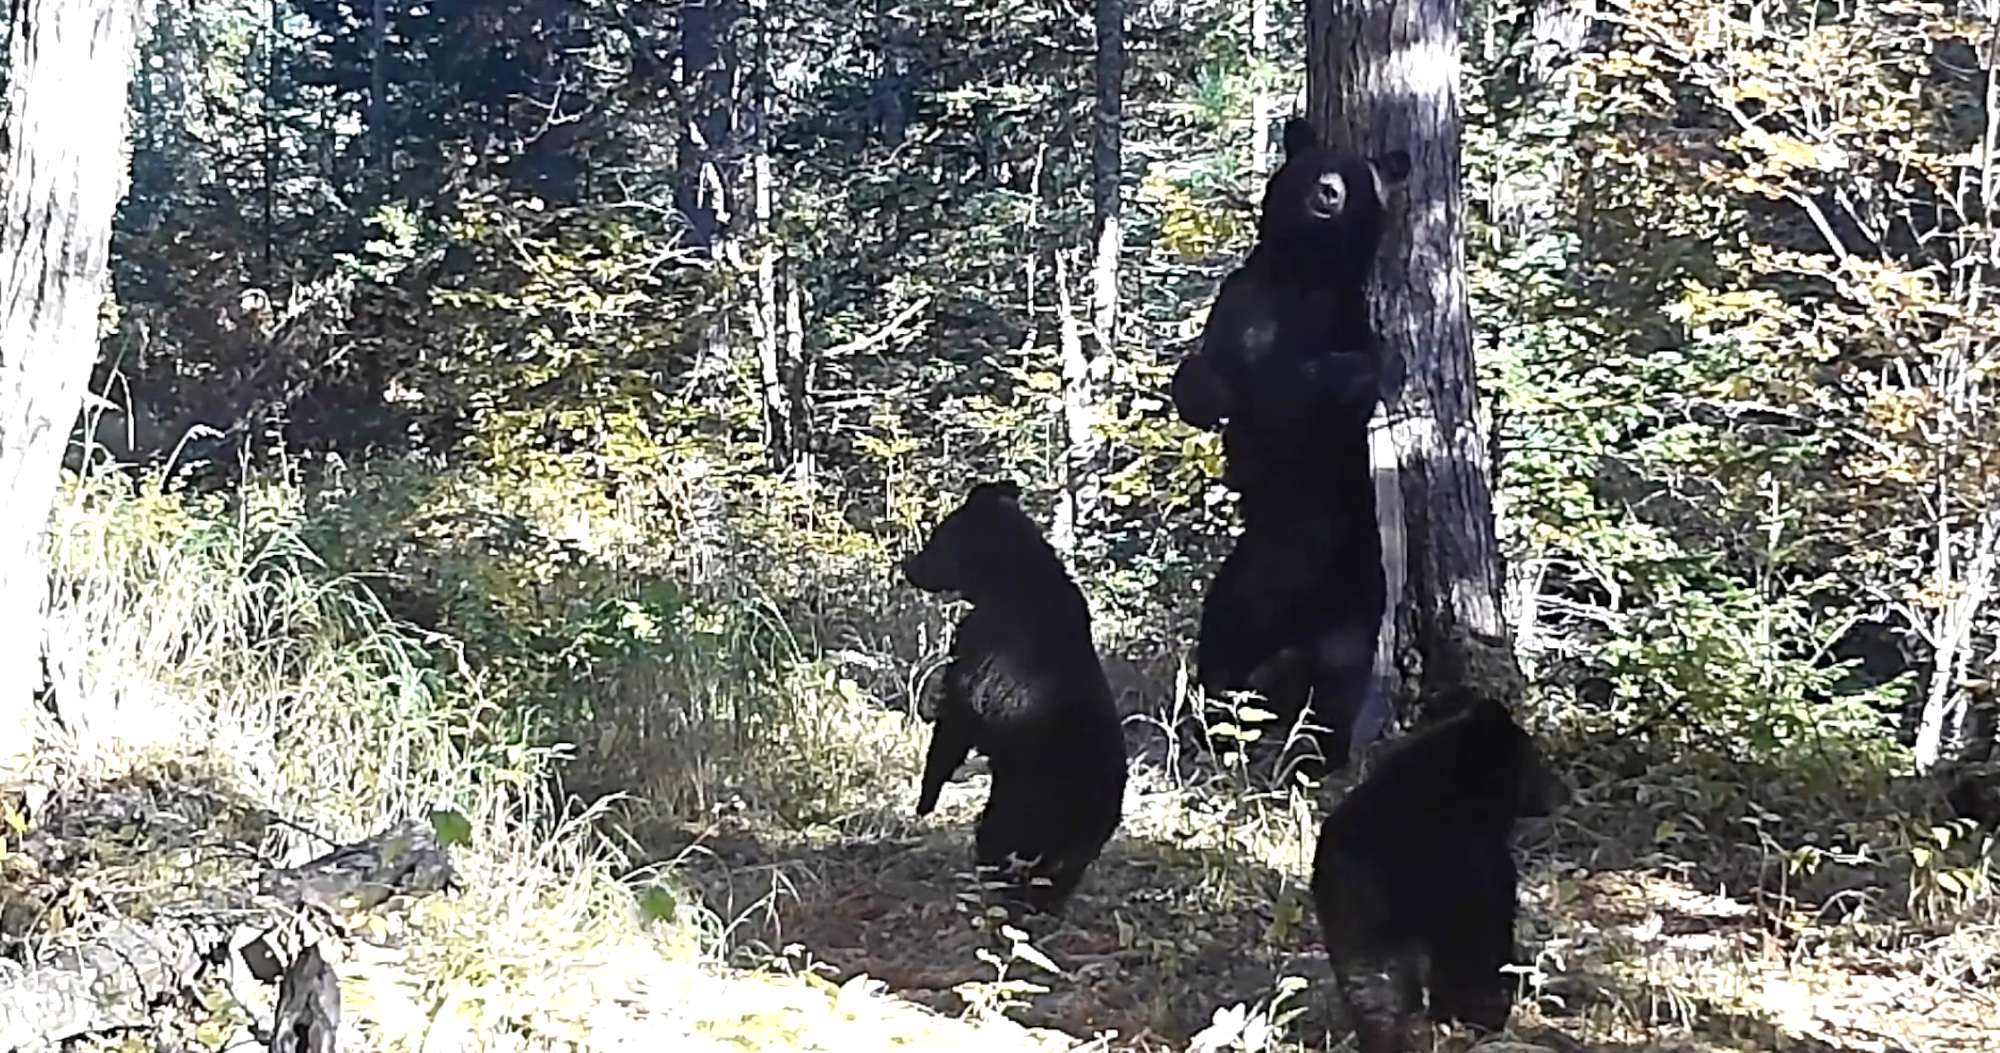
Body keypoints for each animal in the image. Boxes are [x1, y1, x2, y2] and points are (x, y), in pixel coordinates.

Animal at [904, 482, 1128, 912]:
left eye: (938, 538)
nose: (908, 566)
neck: (1010, 579)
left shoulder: (976, 659)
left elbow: (952, 728)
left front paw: (925, 798)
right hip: (1070, 844)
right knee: (1053, 879)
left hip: (1017, 809)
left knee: (996, 849)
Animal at [1168, 117, 1408, 768]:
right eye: (1318, 163)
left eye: (1356, 176)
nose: (1328, 191)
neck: (1305, 270)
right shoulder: (1240, 302)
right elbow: (1205, 382)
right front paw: (1204, 385)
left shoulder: (1342, 330)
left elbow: (1333, 383)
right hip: (1256, 575)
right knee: (1226, 626)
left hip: (1353, 606)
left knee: (1338, 682)